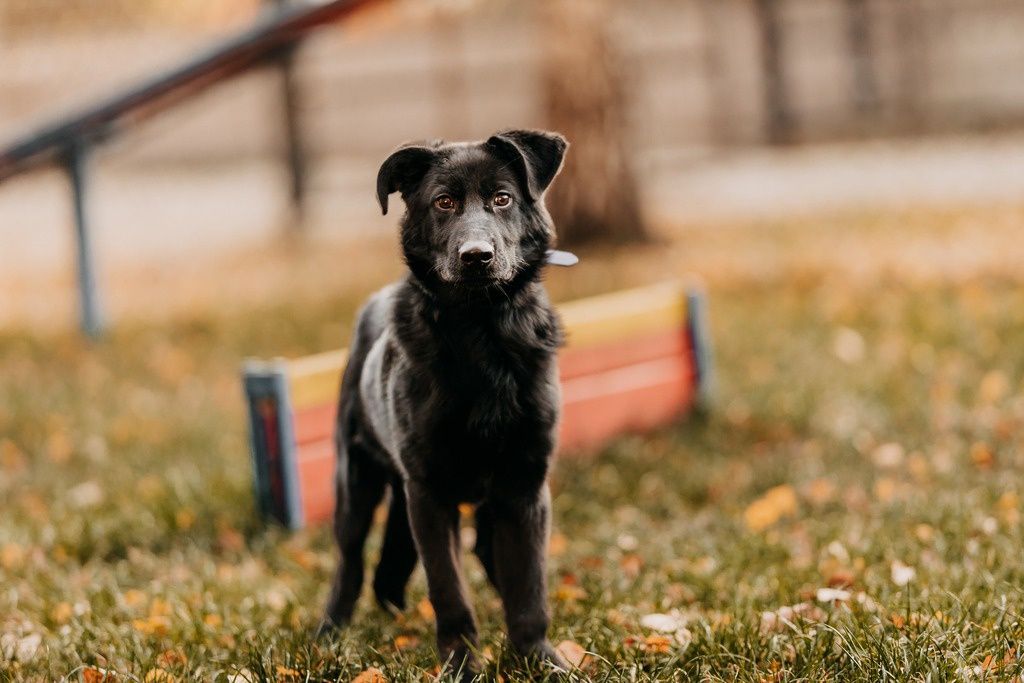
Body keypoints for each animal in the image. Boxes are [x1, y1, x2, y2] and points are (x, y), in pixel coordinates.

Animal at [321, 131, 569, 675]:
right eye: (444, 203)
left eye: (502, 198)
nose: (476, 256)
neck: (481, 331)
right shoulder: (429, 492)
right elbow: (449, 589)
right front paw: (460, 666)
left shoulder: (524, 487)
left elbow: (529, 586)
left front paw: (538, 659)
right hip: (357, 481)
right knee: (349, 562)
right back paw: (329, 635)